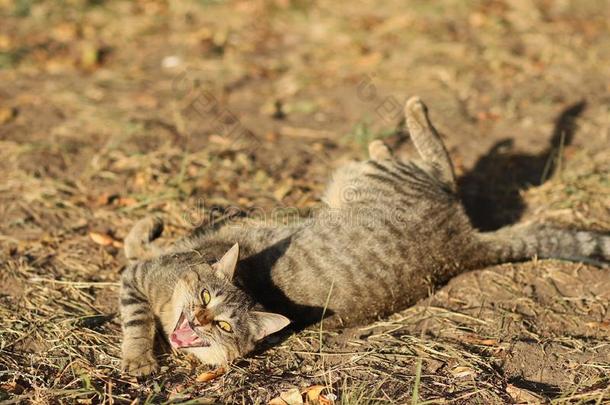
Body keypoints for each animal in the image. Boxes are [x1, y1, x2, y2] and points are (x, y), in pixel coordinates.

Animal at [117, 97, 604, 376]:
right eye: (203, 299)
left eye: (220, 325)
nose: (198, 320)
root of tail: (462, 246)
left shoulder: (138, 273)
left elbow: (135, 305)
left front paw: (137, 359)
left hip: (363, 179)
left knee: (439, 162)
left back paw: (409, 116)